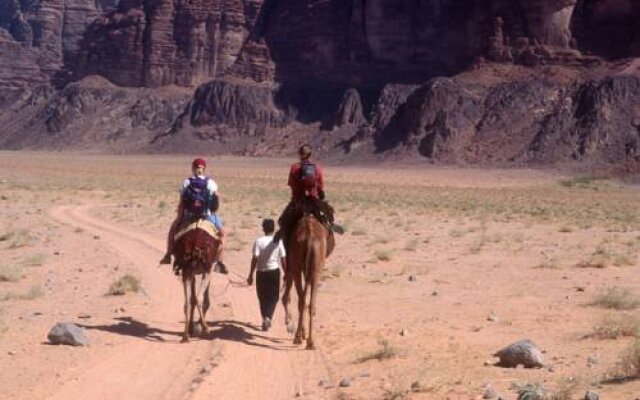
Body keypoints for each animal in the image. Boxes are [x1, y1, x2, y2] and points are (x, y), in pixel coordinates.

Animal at [284, 200, 338, 350]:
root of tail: (309, 235)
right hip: (315, 267)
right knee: (308, 301)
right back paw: (308, 340)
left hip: (300, 266)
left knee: (303, 300)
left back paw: (301, 338)